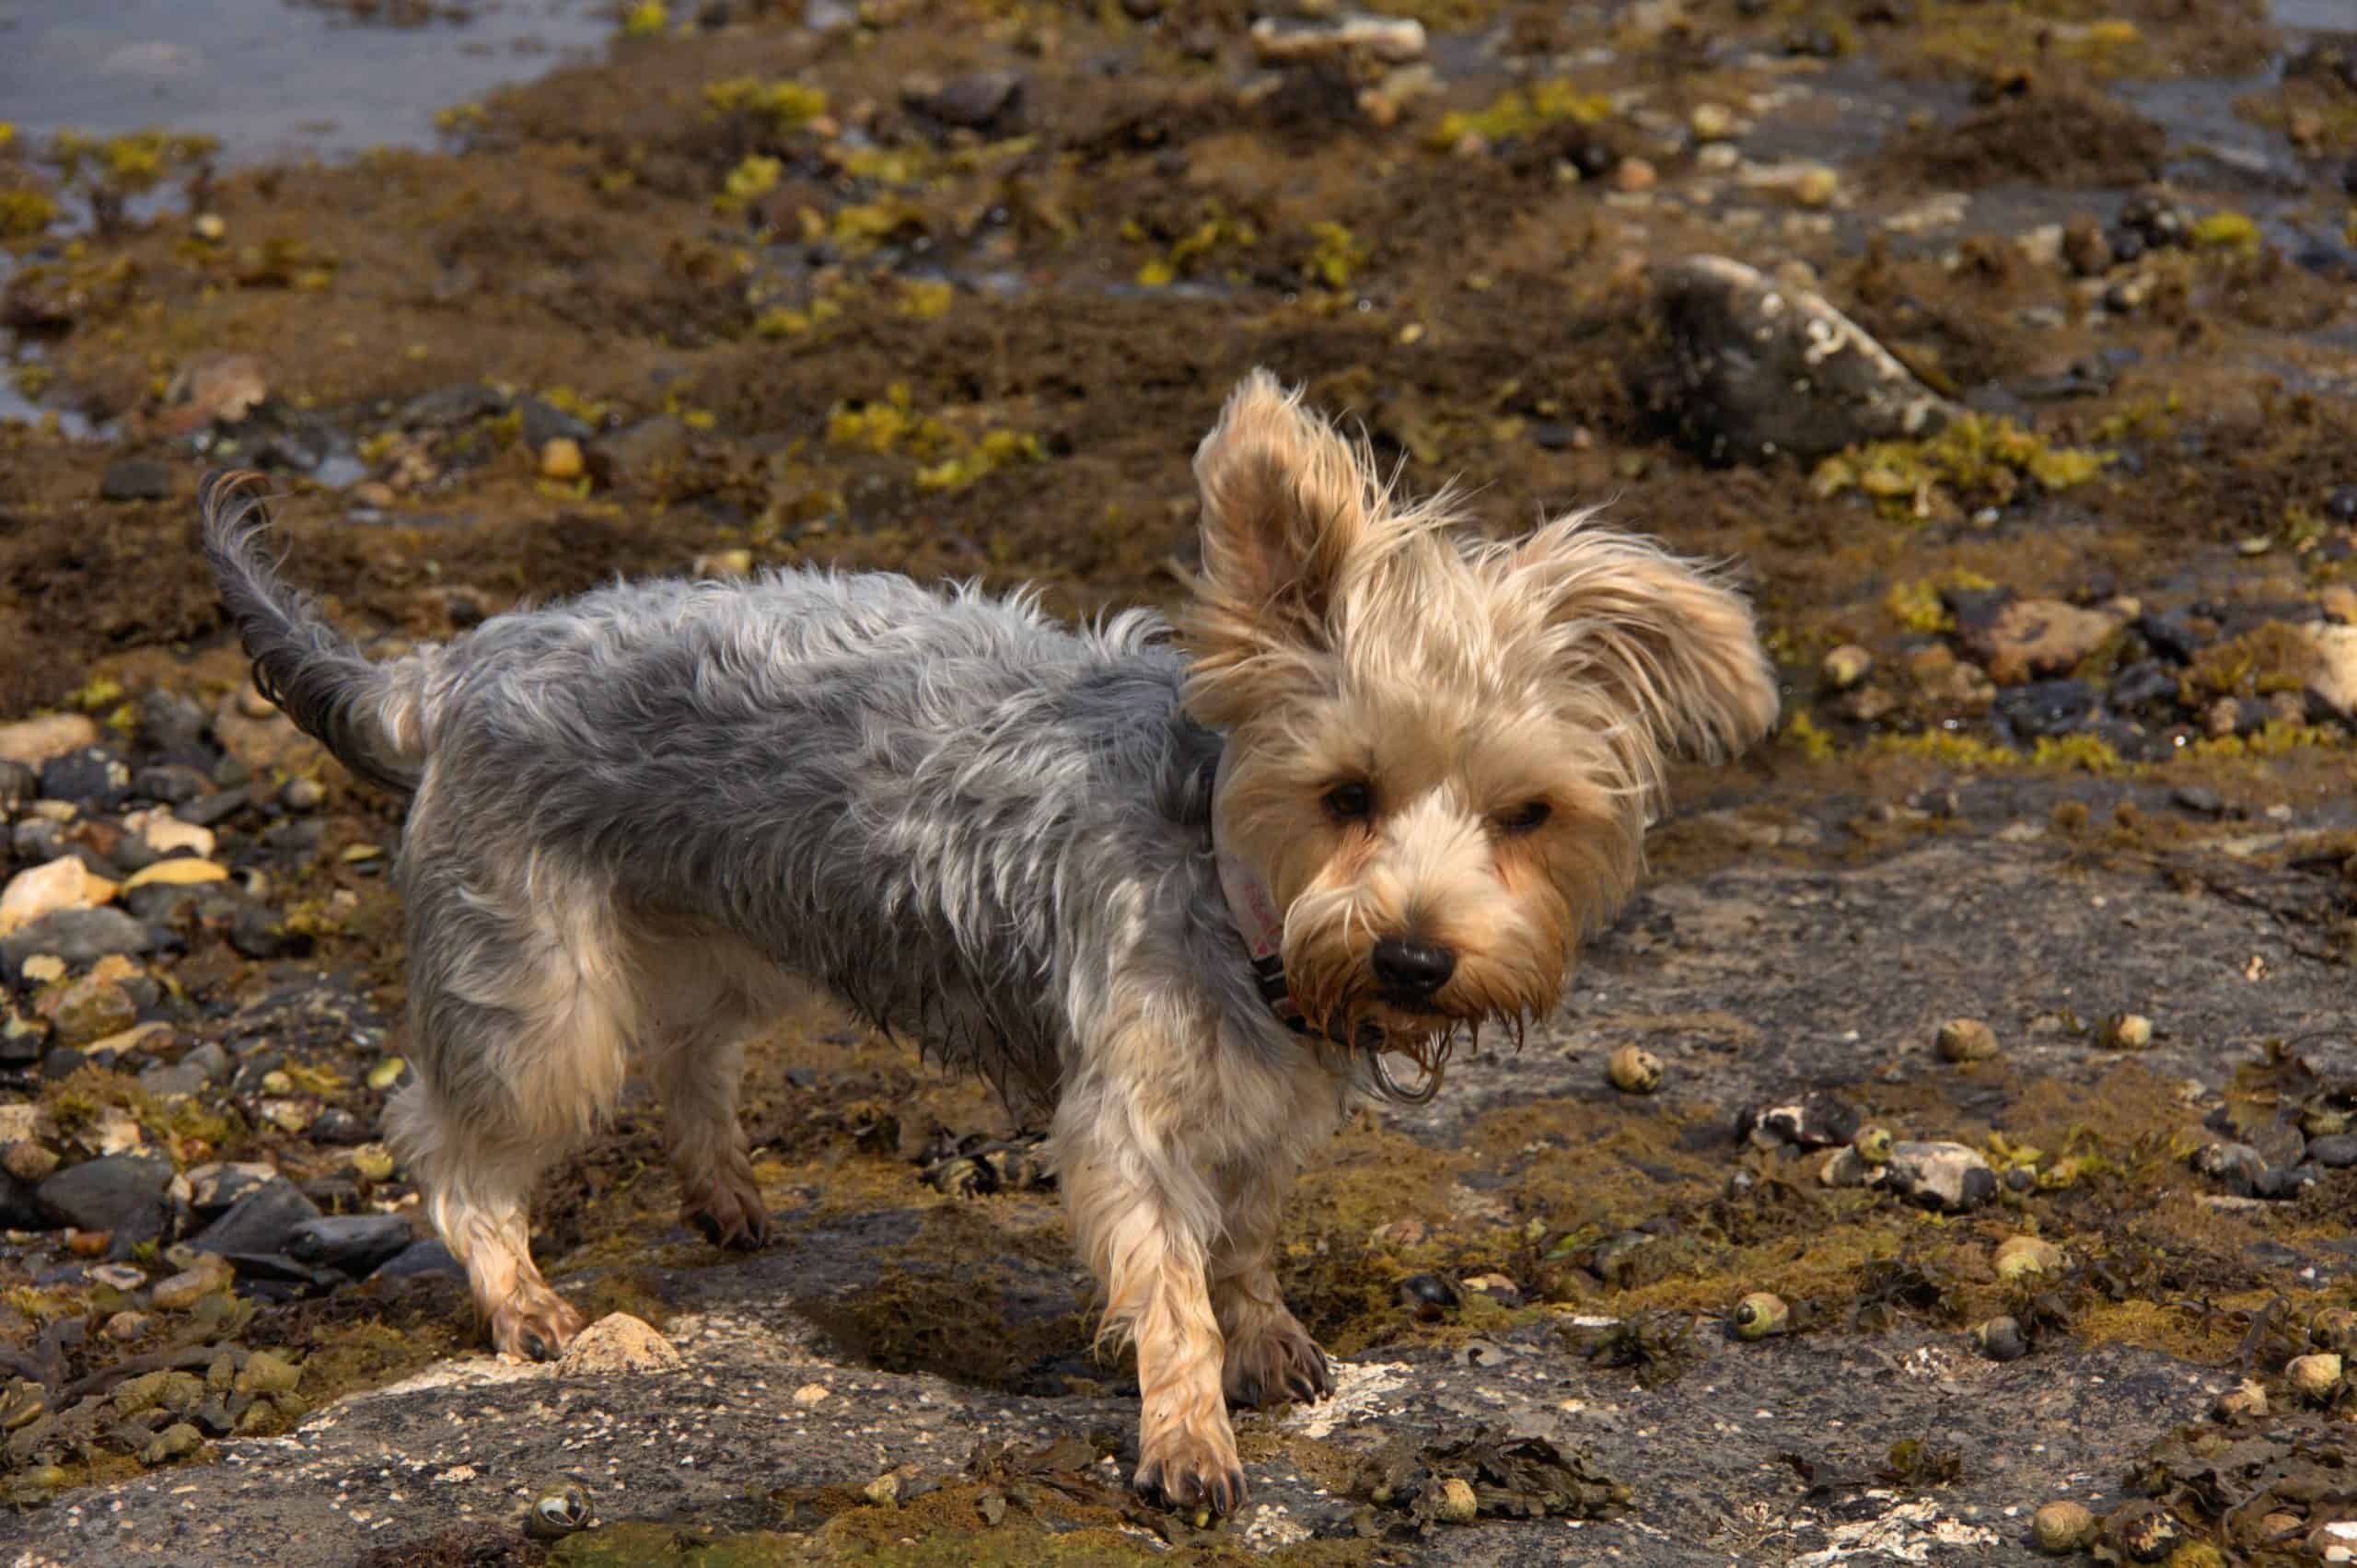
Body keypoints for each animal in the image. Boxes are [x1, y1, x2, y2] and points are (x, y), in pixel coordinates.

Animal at [203, 370, 1772, 1518]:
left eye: (1528, 813)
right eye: (1346, 794)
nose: (1414, 961)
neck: (1231, 886)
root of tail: (448, 668)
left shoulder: (1265, 1104)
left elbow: (1246, 1239)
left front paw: (1269, 1335)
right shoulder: (1130, 1107)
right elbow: (1171, 1279)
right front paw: (1191, 1433)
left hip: (721, 919)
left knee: (691, 1047)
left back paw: (723, 1192)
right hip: (537, 977)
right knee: (455, 1134)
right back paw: (526, 1299)